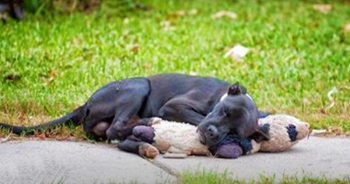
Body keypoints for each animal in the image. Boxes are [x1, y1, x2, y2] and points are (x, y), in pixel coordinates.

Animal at [0, 73, 268, 147]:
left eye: (233, 132)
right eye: (223, 112)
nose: (213, 133)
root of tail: (86, 104)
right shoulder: (175, 105)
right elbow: (196, 117)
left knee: (112, 130)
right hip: (138, 86)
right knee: (115, 128)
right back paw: (149, 122)